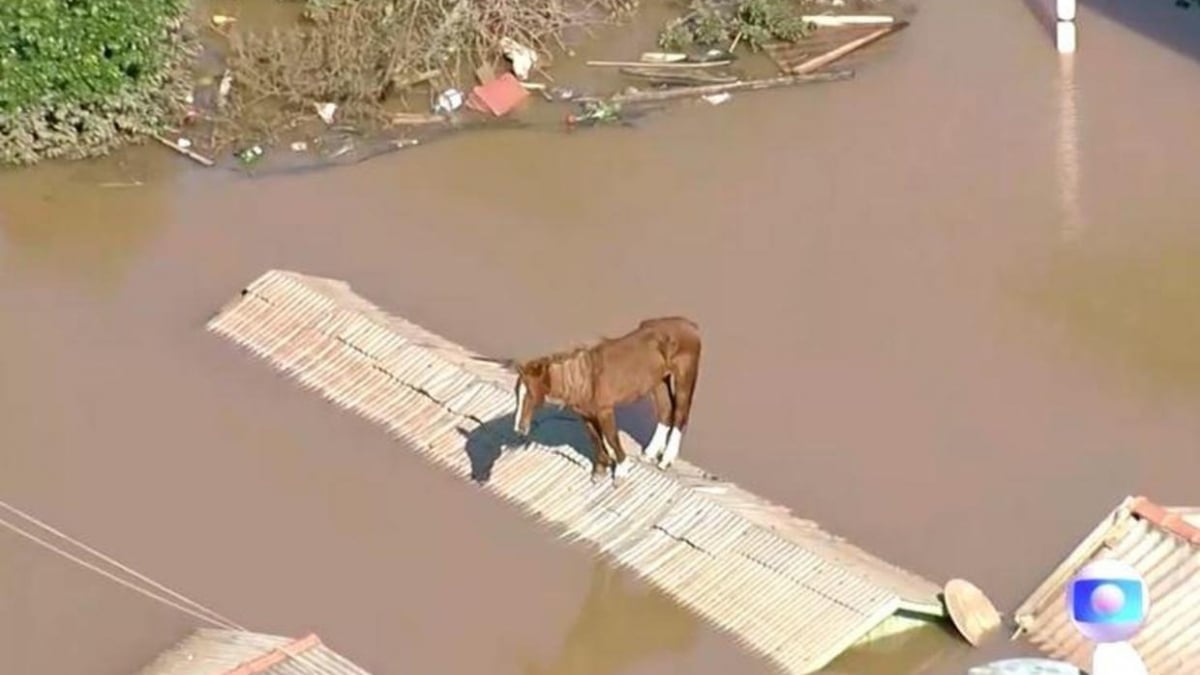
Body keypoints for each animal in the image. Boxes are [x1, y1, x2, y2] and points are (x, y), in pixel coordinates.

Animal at [508, 317, 700, 480]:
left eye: (530, 394)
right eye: (517, 393)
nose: (519, 428)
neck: (585, 378)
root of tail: (691, 326)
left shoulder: (605, 411)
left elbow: (611, 437)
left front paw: (621, 469)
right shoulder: (586, 415)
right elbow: (596, 439)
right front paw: (600, 469)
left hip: (684, 376)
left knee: (680, 414)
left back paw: (666, 460)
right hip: (659, 381)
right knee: (666, 411)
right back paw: (650, 453)